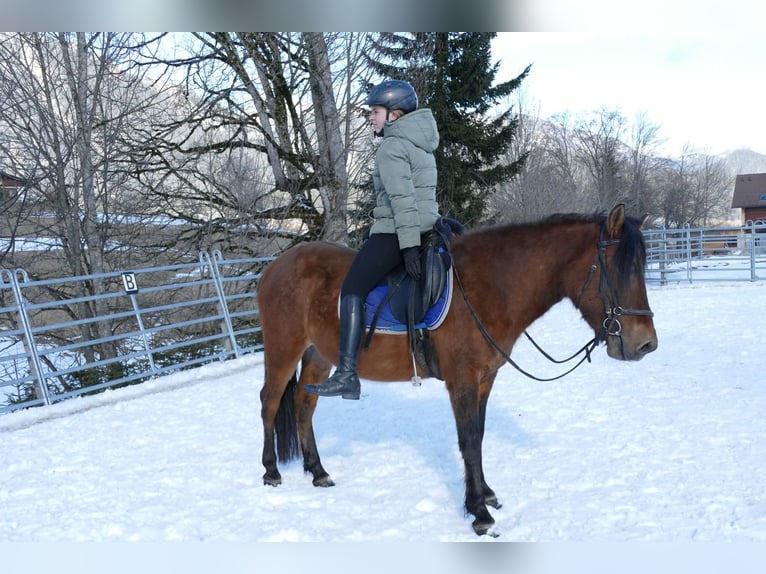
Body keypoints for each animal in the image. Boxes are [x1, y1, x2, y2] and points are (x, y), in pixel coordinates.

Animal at [258, 205, 660, 536]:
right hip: (282, 350)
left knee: (304, 405)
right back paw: (271, 471)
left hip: (319, 355)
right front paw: (479, 513)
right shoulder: (462, 380)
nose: (646, 344)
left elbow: (477, 437)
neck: (491, 287)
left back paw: (317, 471)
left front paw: (485, 494)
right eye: (620, 270)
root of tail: (275, 266)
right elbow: (467, 441)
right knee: (270, 402)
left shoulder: (484, 379)